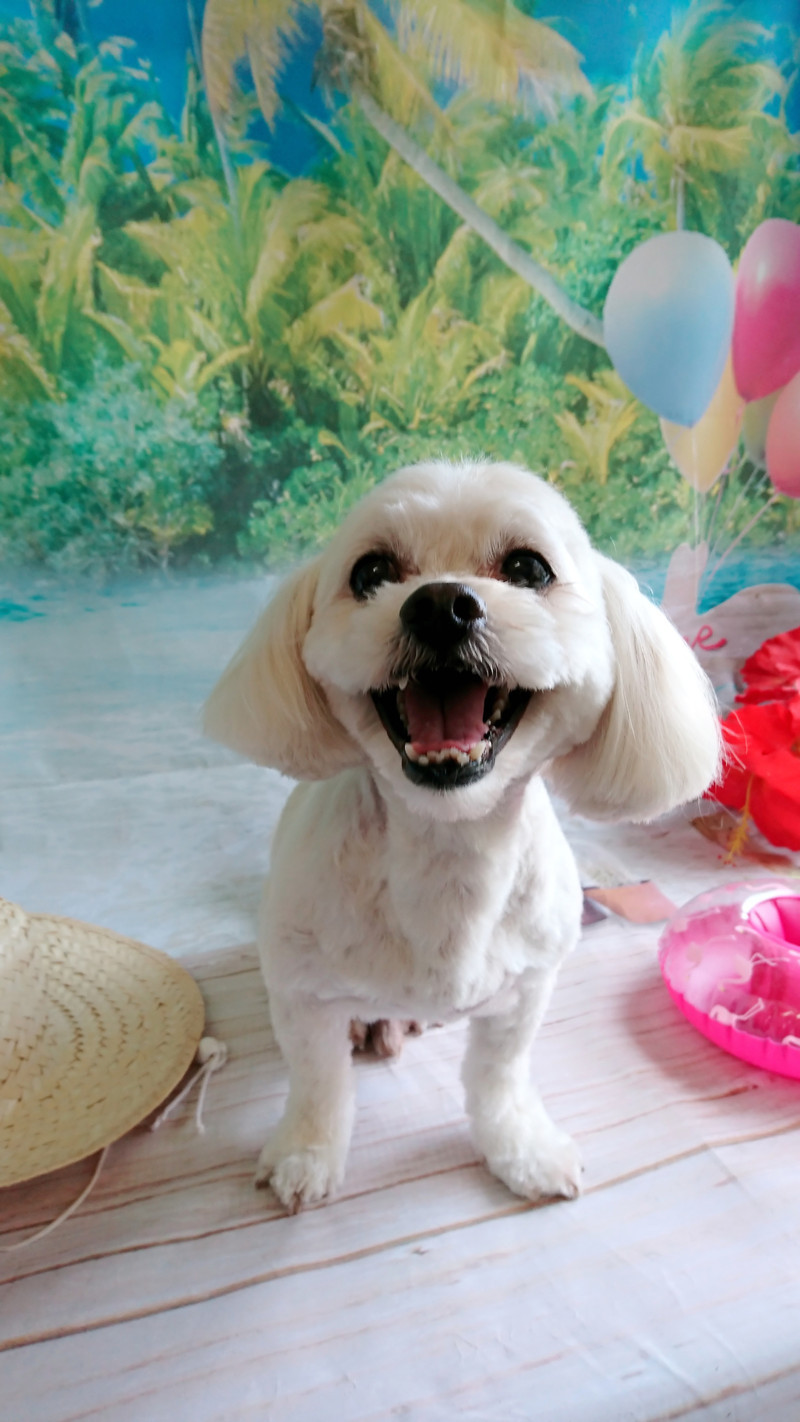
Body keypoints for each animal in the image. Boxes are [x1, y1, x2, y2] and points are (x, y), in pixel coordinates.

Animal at [204, 459, 721, 1212]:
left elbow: (500, 1079)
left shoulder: (525, 992)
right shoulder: (301, 995)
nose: (440, 605)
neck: (445, 855)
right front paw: (307, 1155)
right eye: (371, 572)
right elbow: (318, 1083)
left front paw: (522, 1151)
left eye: (528, 568)